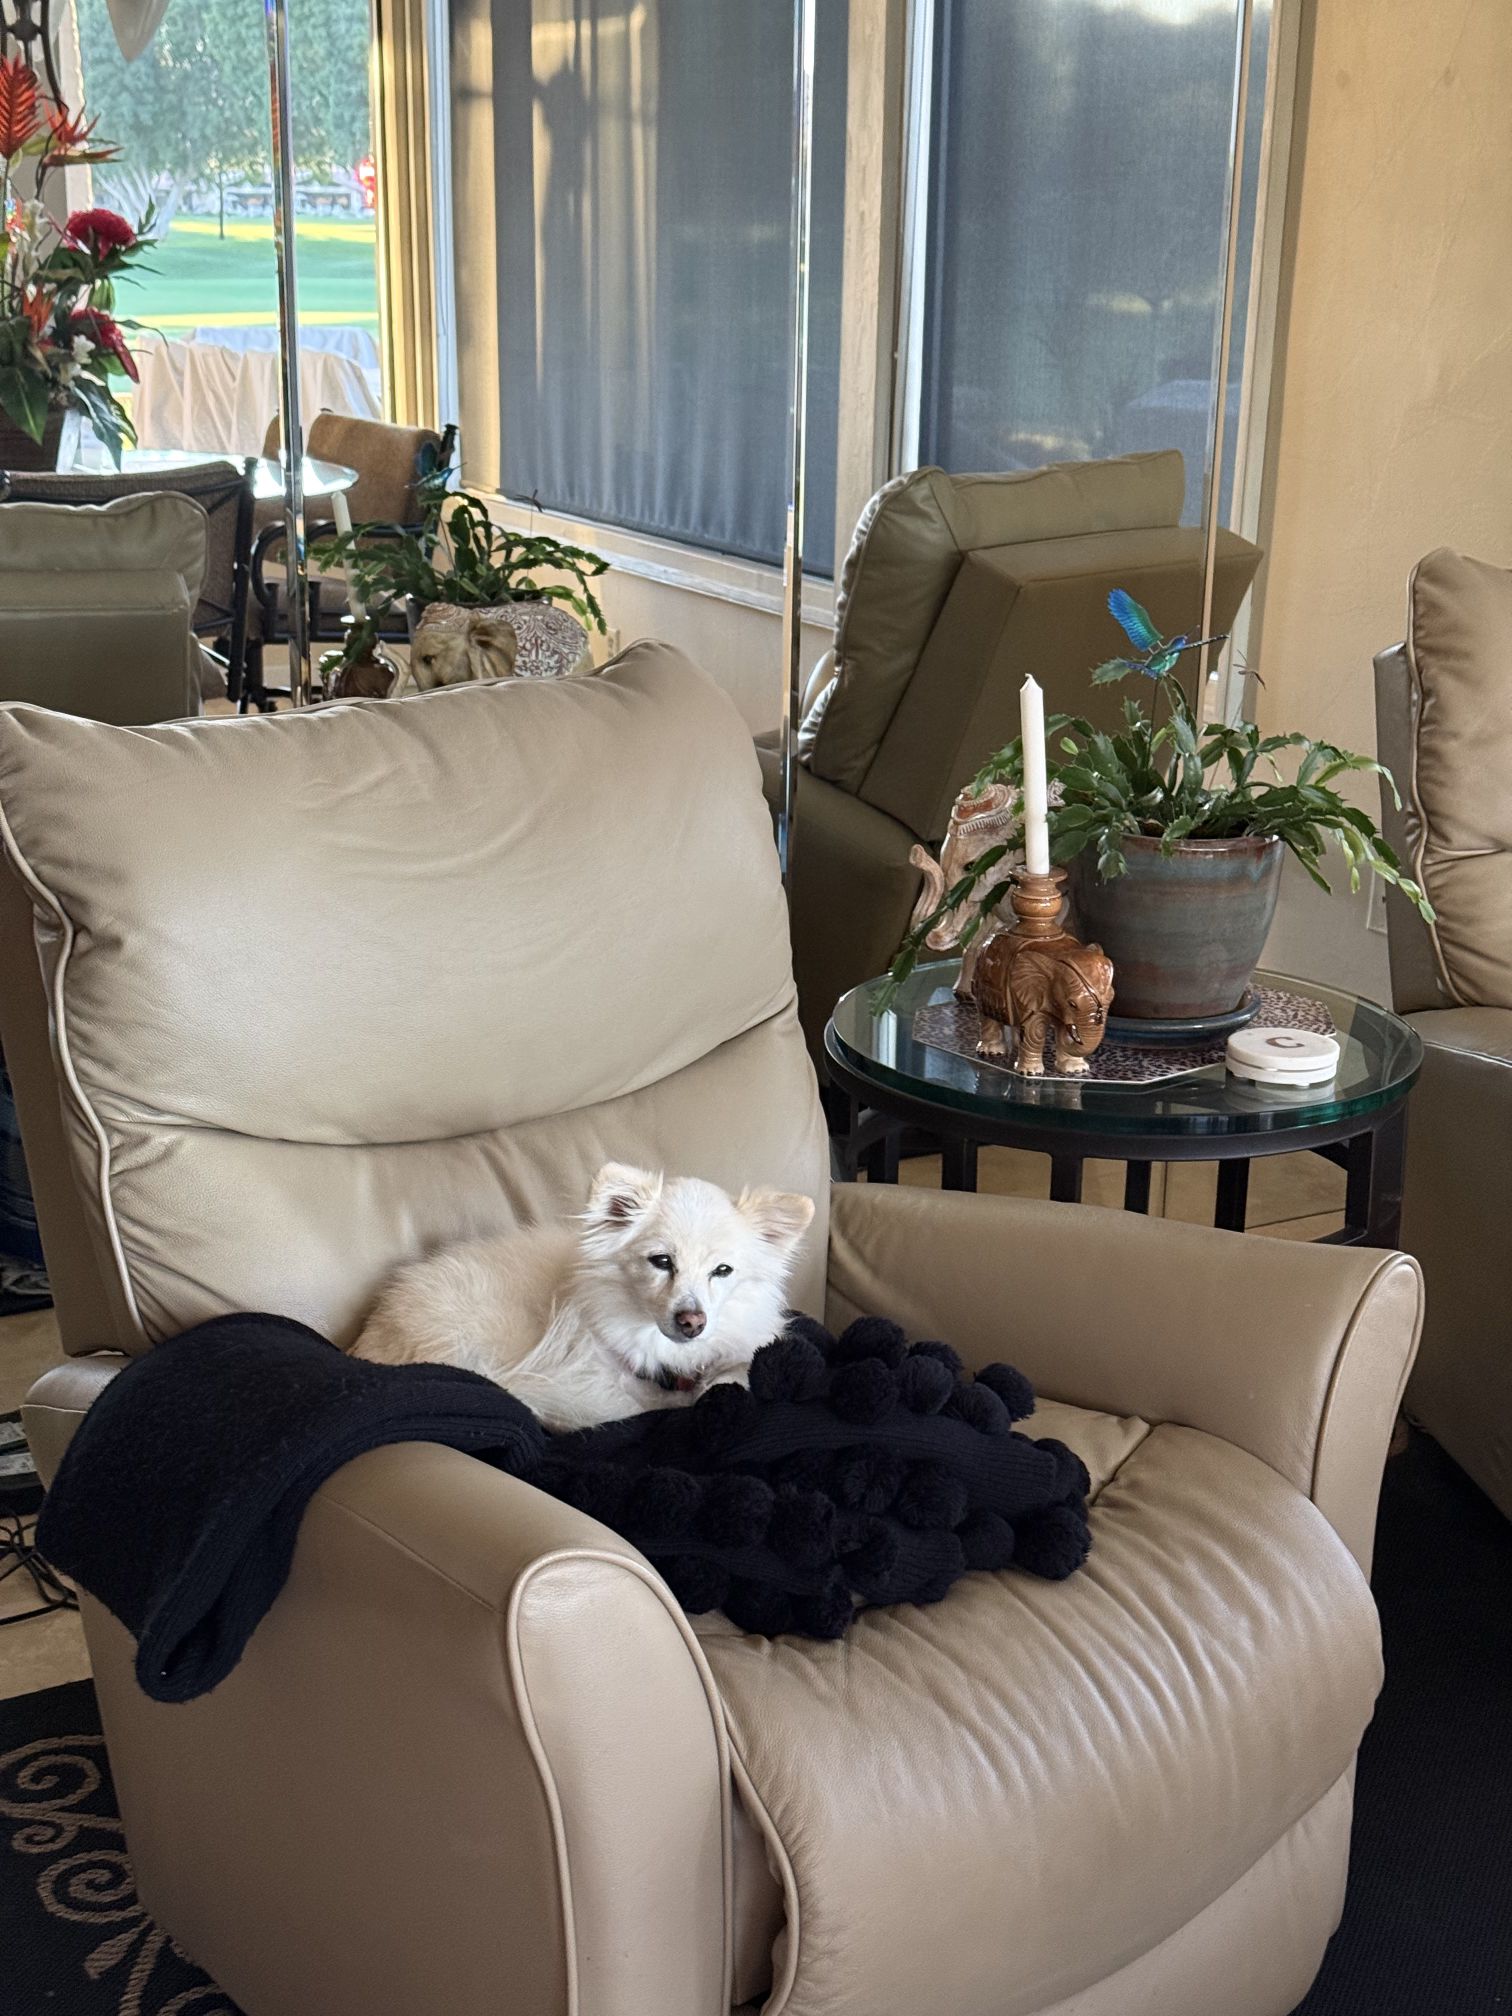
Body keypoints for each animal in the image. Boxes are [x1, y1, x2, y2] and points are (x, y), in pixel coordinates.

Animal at [351, 1162, 815, 1431]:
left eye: (722, 1271)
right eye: (661, 1261)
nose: (692, 1322)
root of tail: (368, 1340)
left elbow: (733, 1370)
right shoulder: (584, 1375)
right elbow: (641, 1400)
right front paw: (688, 1399)